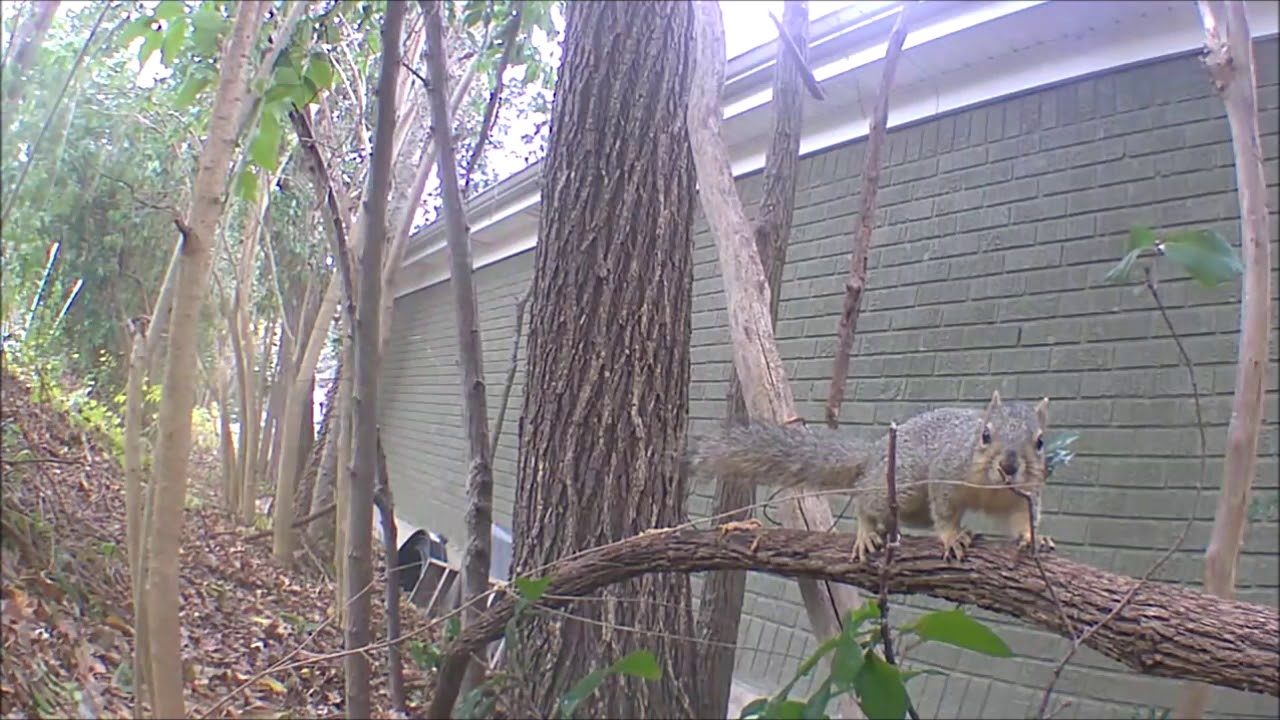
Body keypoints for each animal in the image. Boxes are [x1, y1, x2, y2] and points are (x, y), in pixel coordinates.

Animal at [687, 391, 1055, 563]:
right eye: (985, 435)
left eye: (1040, 442)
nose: (1008, 466)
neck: (991, 488)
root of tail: (875, 453)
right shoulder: (946, 474)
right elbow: (946, 511)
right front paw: (952, 537)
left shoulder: (1025, 493)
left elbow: (1024, 516)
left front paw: (1033, 537)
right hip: (903, 484)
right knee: (865, 498)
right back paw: (866, 532)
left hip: (911, 508)